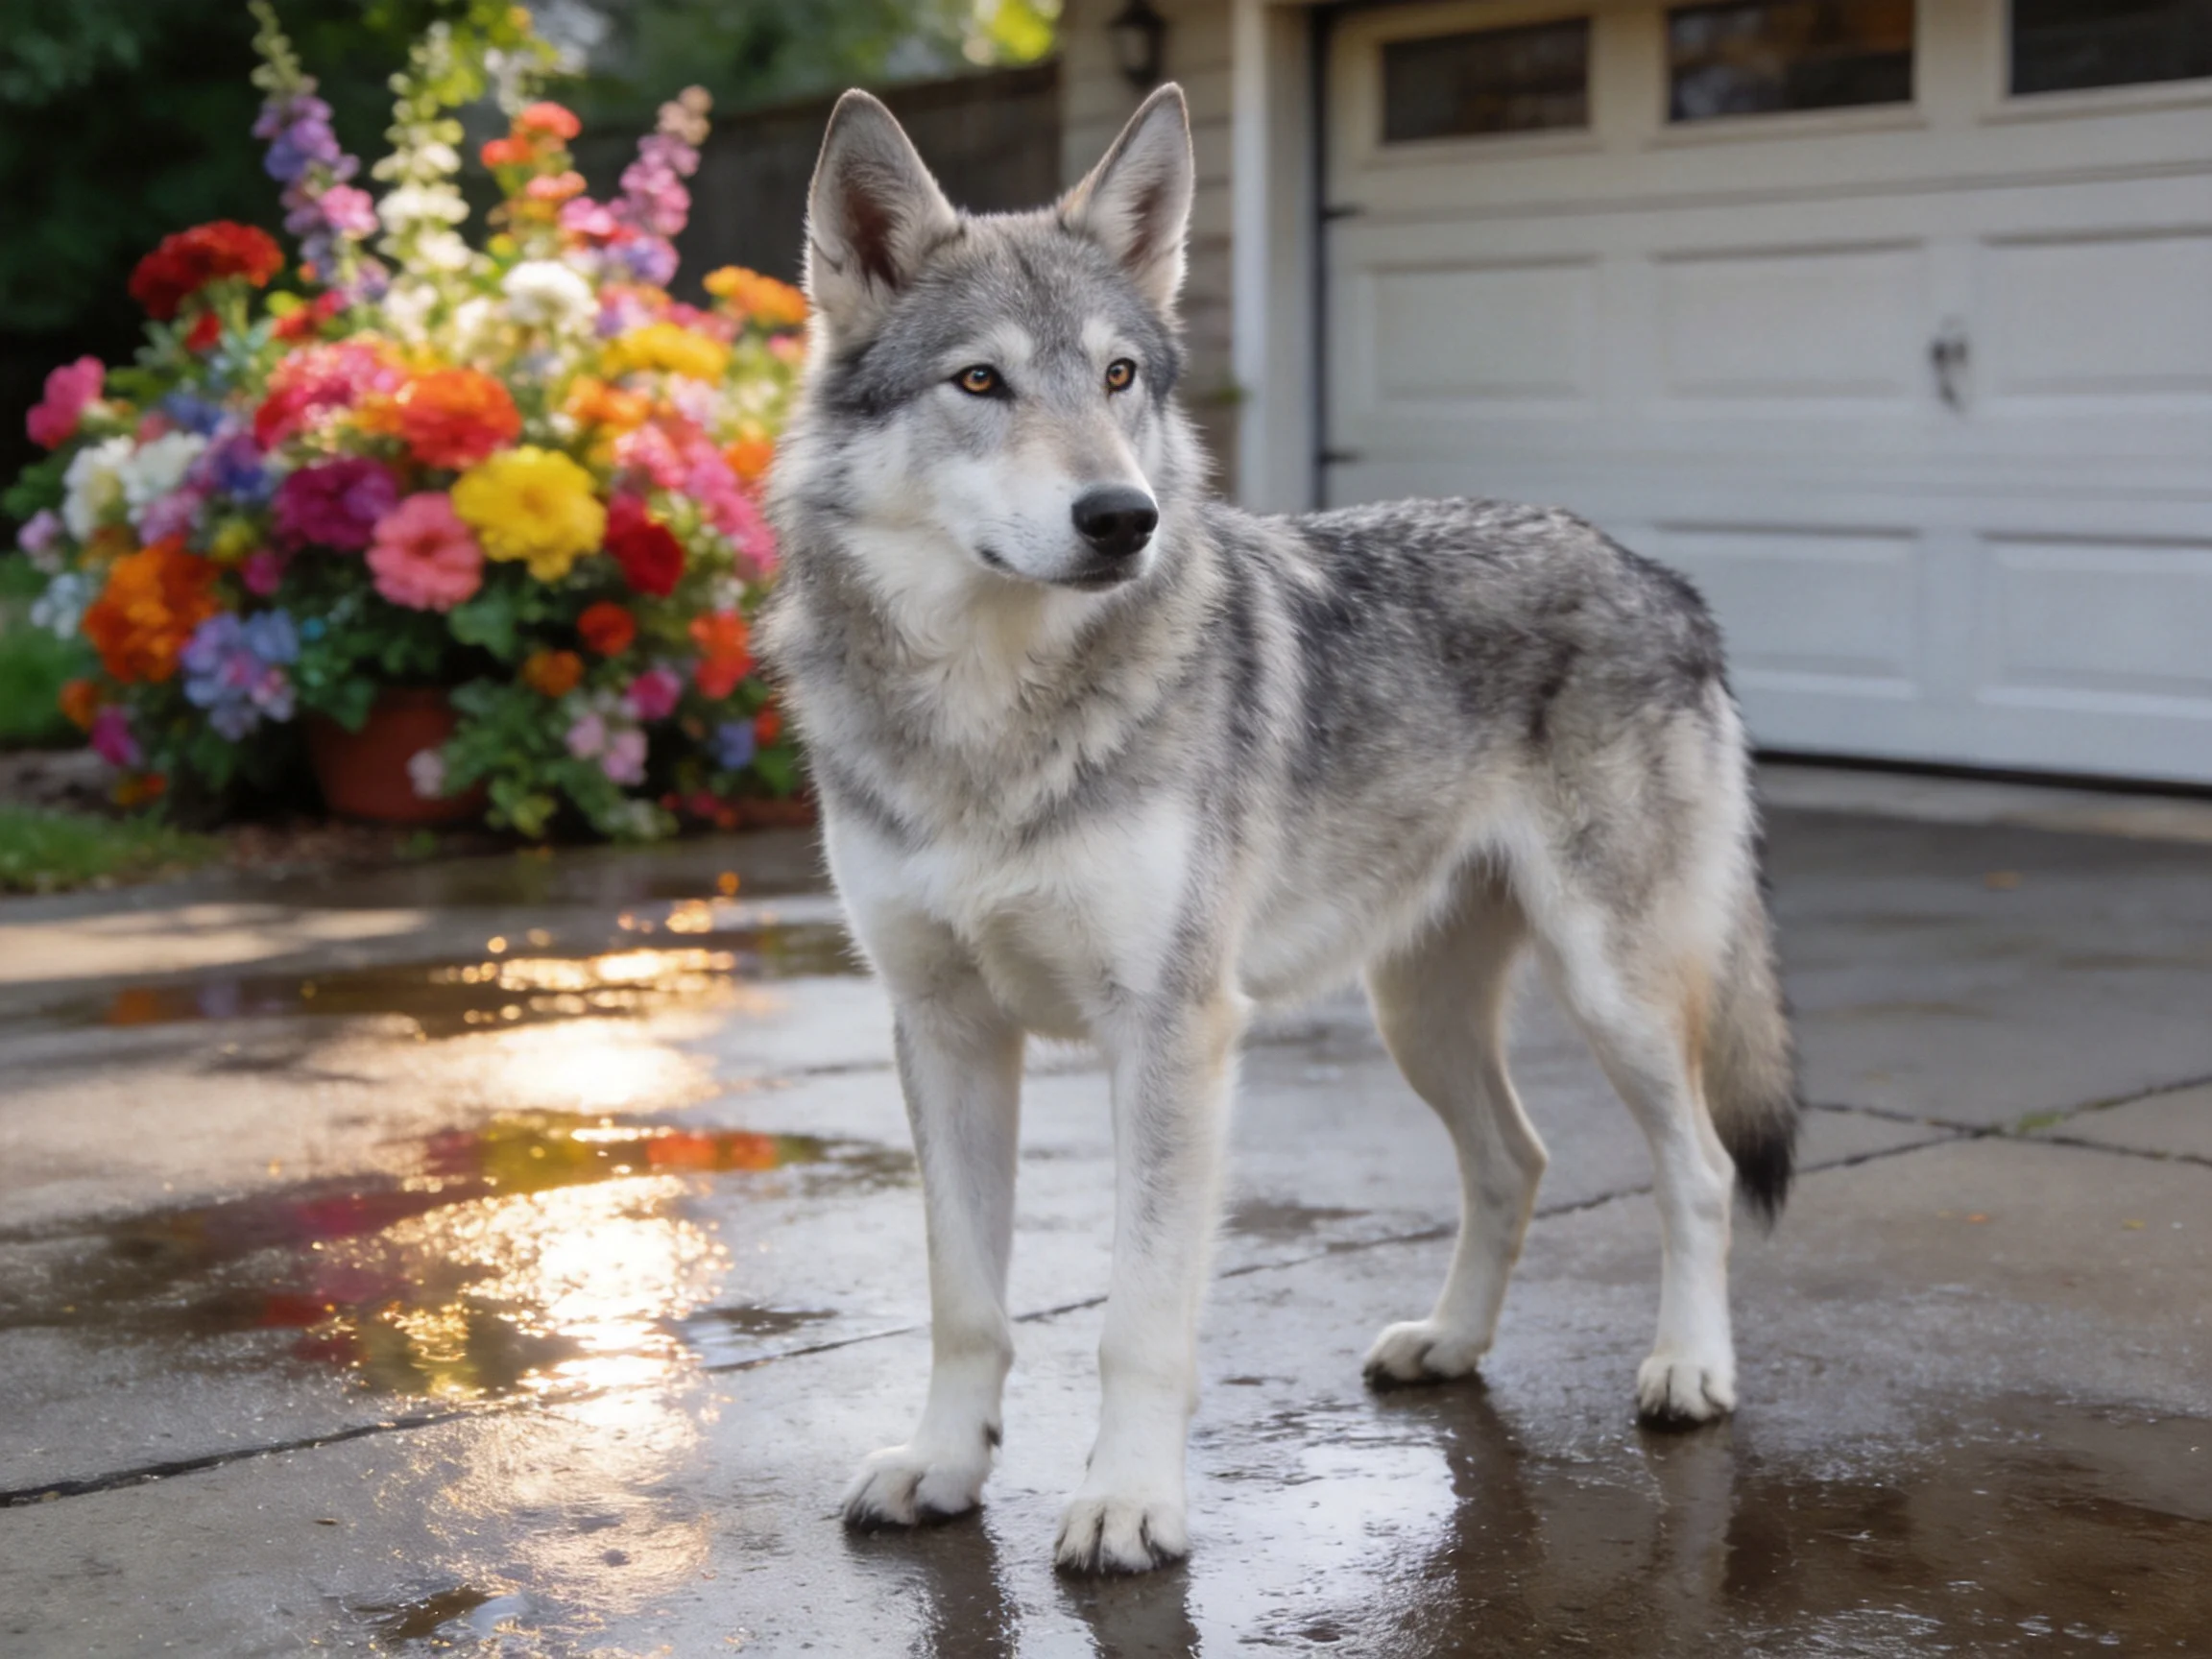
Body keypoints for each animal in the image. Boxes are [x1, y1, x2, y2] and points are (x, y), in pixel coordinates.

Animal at [759, 83, 1800, 1576]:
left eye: (1120, 379)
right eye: (980, 384)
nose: (1121, 518)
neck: (988, 713)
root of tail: (1657, 572)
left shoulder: (1171, 1036)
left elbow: (1139, 1318)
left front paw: (1130, 1504)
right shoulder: (943, 1031)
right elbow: (967, 1302)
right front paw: (945, 1469)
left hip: (1614, 995)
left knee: (1702, 1168)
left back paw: (1690, 1371)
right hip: (1416, 1017)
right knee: (1517, 1162)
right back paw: (1450, 1344)